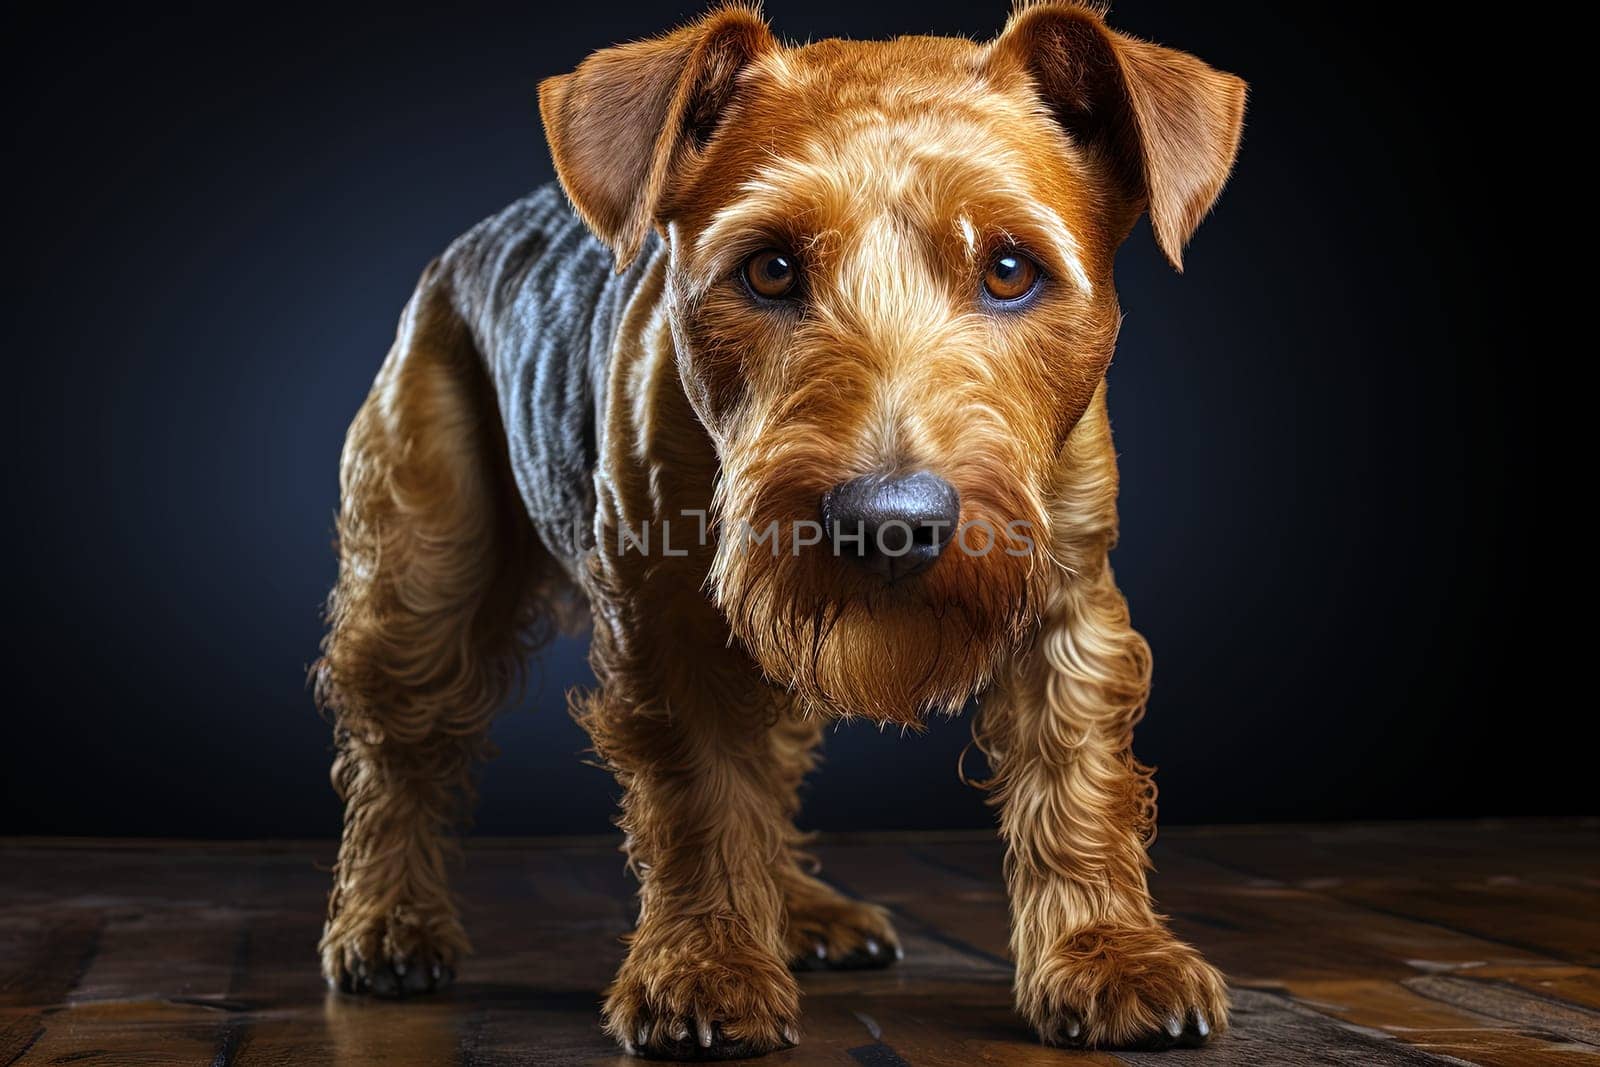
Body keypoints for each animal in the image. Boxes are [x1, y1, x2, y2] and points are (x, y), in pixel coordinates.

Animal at [308, 0, 1235, 1049]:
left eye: (1009, 268)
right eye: (769, 267)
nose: (890, 523)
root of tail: (474, 239)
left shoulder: (1067, 600)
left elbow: (1075, 783)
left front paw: (1106, 953)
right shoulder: (670, 626)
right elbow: (706, 800)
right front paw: (705, 967)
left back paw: (797, 911)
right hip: (424, 584)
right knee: (398, 757)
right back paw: (387, 921)